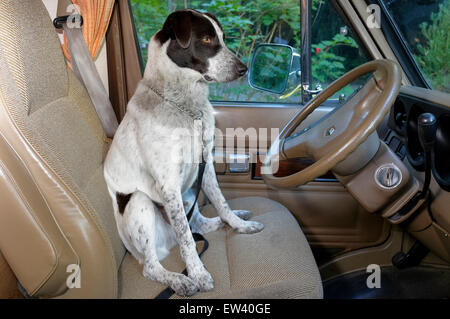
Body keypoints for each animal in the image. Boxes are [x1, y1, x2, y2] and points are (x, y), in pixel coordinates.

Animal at [103, 8, 266, 298]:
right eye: (205, 39)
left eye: (222, 38)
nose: (243, 69)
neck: (186, 107)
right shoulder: (168, 184)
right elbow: (187, 241)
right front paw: (198, 274)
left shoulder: (206, 165)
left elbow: (222, 203)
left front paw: (239, 225)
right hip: (140, 203)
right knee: (153, 264)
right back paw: (178, 279)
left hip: (189, 191)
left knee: (199, 224)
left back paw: (233, 220)